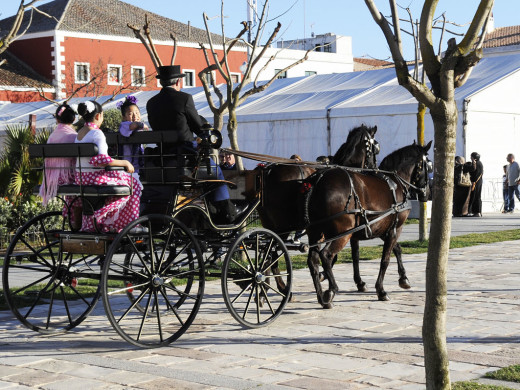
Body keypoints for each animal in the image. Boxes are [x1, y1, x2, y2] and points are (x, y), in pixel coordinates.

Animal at [304, 140, 430, 308]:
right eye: (429, 165)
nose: (427, 193)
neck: (396, 183)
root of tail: (318, 182)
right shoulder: (395, 229)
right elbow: (385, 259)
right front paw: (381, 290)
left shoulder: (380, 228)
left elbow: (395, 249)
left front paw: (403, 278)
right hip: (341, 234)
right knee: (326, 255)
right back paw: (331, 290)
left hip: (316, 232)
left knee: (313, 260)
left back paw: (321, 297)